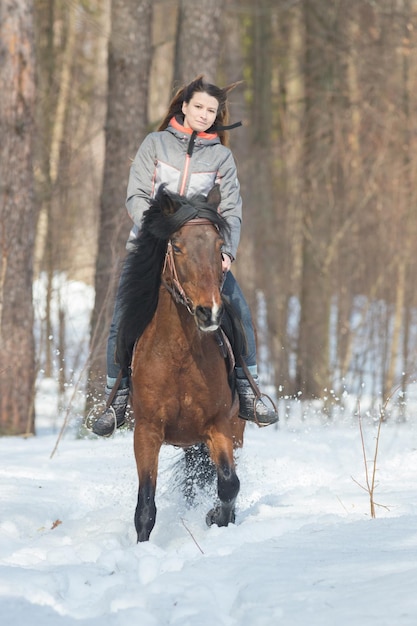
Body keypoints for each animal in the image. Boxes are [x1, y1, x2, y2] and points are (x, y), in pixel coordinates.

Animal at [116, 183, 244, 540]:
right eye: (176, 245)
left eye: (219, 247)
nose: (209, 312)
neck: (179, 356)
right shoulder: (147, 432)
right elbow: (145, 507)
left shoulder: (219, 426)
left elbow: (229, 485)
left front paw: (216, 517)